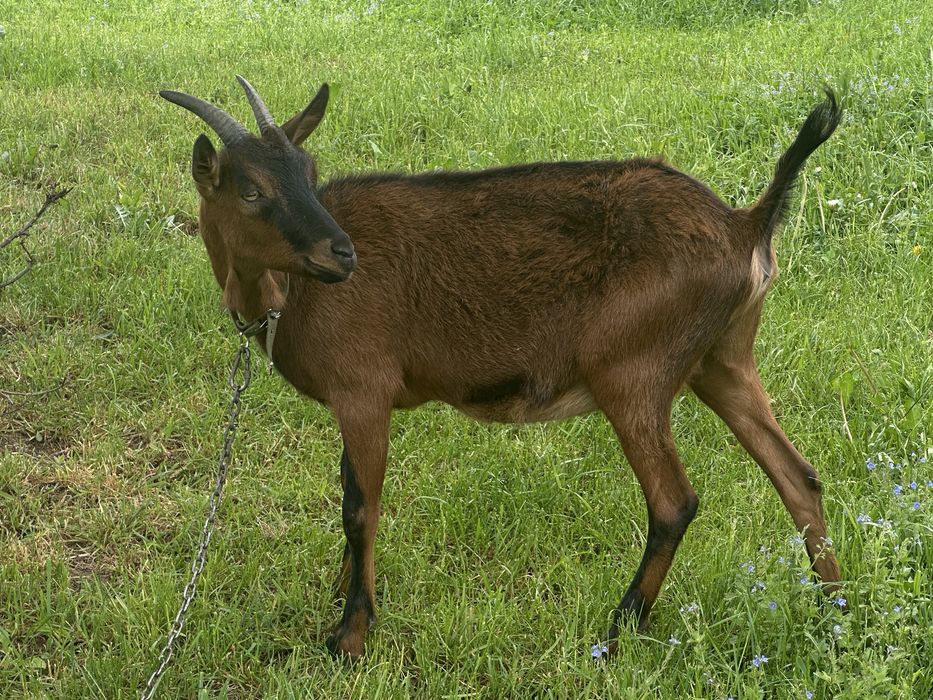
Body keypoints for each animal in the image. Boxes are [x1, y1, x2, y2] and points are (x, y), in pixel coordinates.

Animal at [161, 76, 842, 659]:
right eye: (252, 189)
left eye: (308, 172)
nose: (342, 253)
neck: (292, 295)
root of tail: (744, 225)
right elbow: (352, 492)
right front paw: (344, 598)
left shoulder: (363, 389)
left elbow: (359, 506)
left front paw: (350, 636)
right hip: (722, 359)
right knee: (799, 475)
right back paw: (833, 615)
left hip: (633, 371)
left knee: (675, 501)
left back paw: (616, 631)